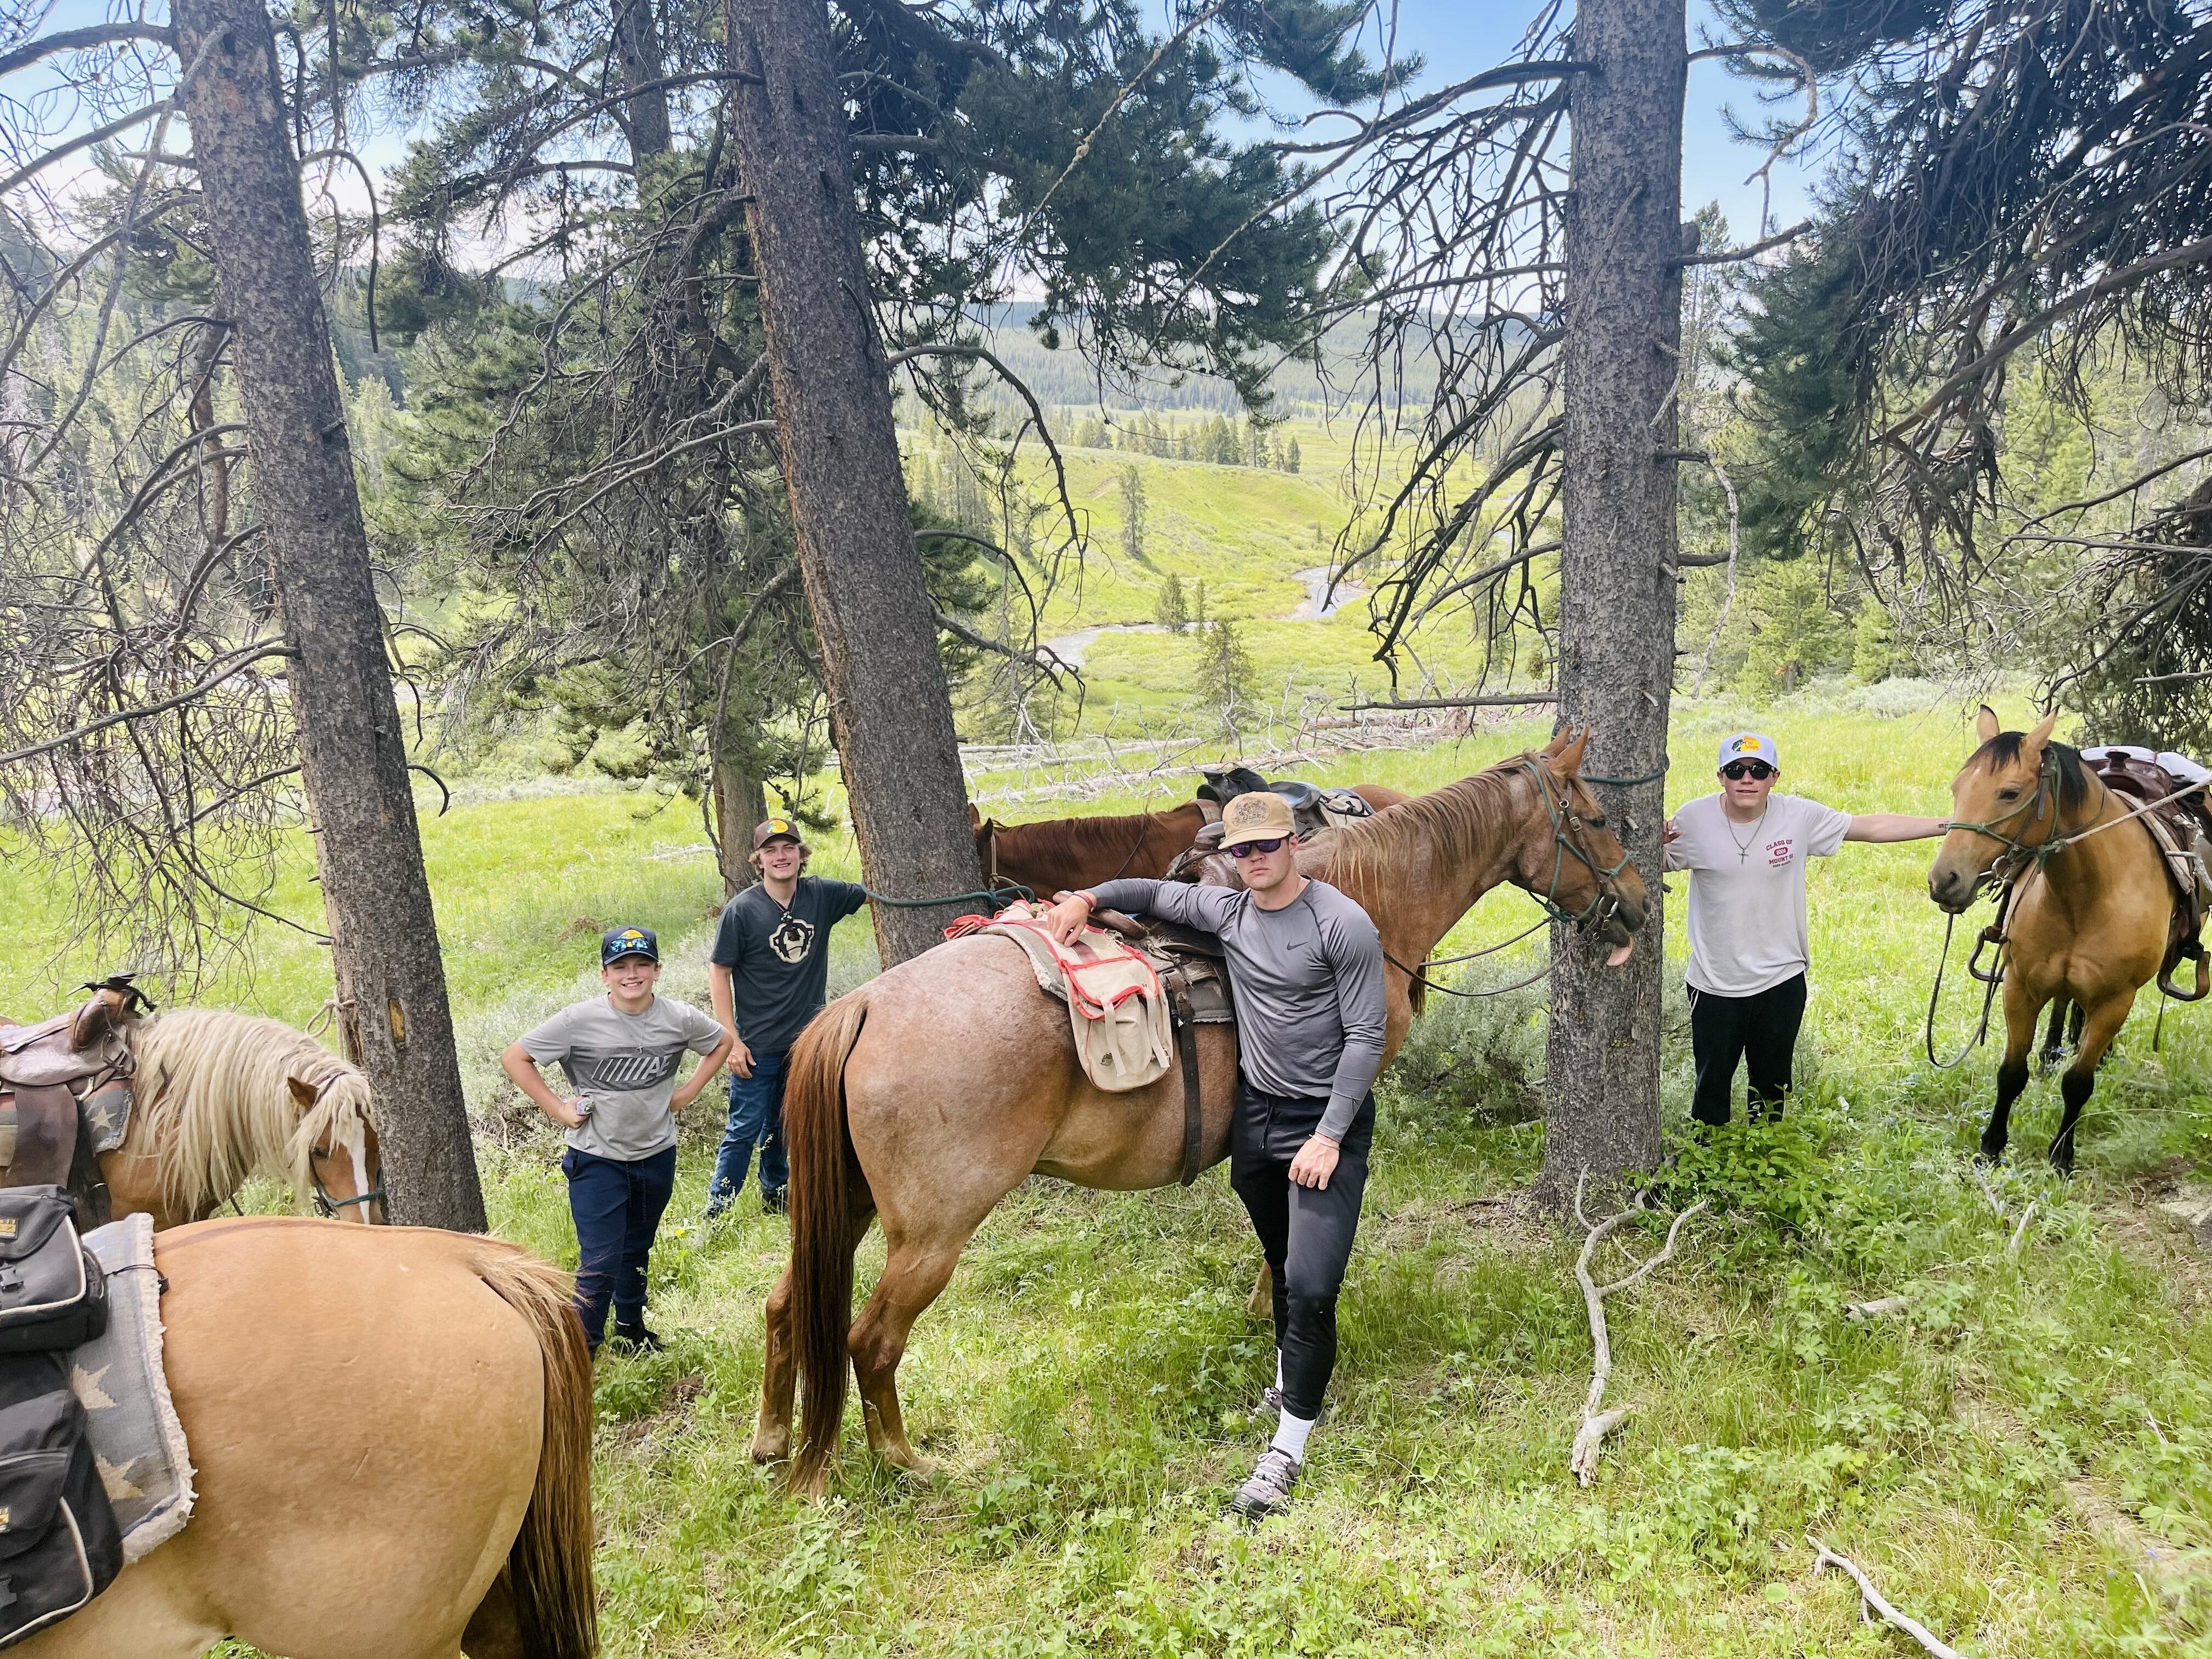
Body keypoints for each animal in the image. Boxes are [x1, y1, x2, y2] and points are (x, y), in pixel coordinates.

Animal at [1929, 707, 2185, 1176]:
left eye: (2010, 793)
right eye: (1957, 788)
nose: (1944, 881)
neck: (2088, 891)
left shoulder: (2115, 1000)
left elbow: (2079, 1083)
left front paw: (2062, 1157)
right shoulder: (2021, 988)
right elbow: (2011, 1073)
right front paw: (1990, 1148)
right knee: (2066, 1005)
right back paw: (2052, 1051)